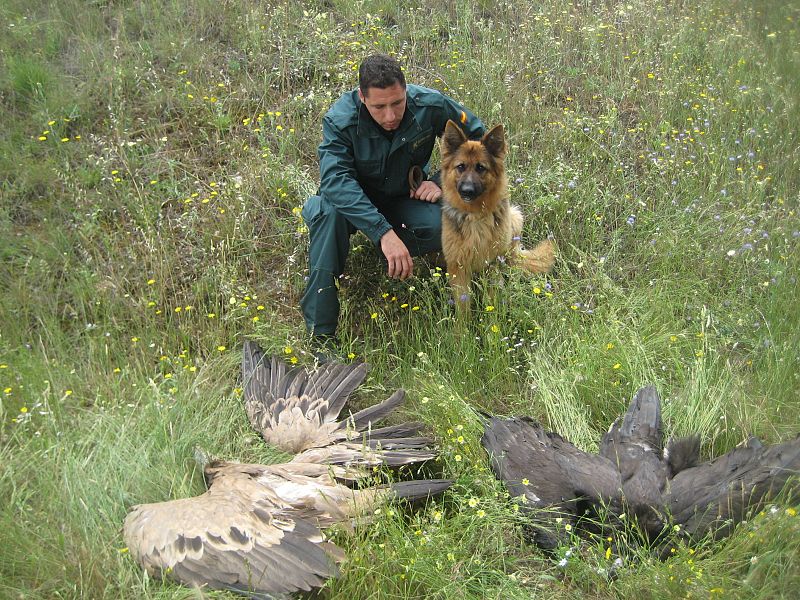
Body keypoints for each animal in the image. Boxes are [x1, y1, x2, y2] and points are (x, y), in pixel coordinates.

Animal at [438, 121, 556, 310]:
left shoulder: (492, 264)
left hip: (515, 218)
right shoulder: (459, 268)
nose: (467, 191)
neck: (474, 215)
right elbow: (463, 308)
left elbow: (491, 300)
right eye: (460, 166)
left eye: (481, 167)